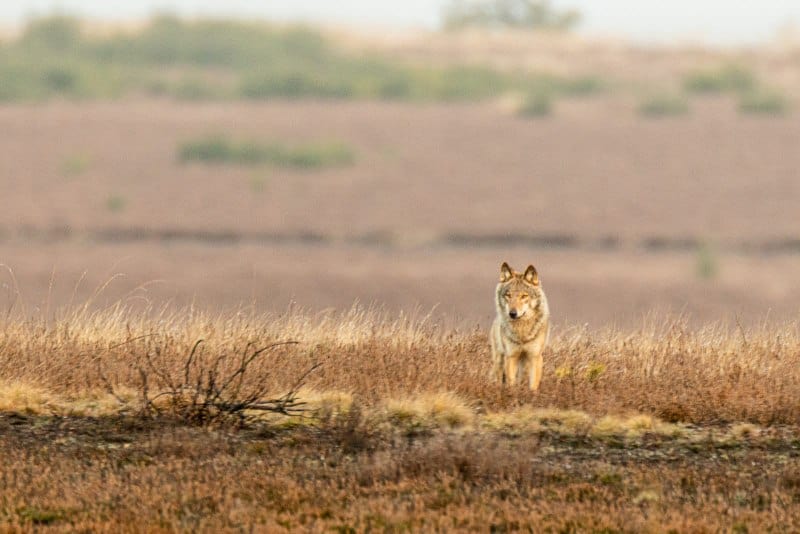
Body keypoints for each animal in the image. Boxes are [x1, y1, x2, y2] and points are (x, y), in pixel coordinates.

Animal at [488, 262, 552, 392]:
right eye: (508, 295)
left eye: (524, 296)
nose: (512, 313)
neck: (521, 332)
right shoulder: (511, 357)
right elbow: (511, 383)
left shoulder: (535, 357)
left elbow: (533, 386)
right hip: (500, 360)